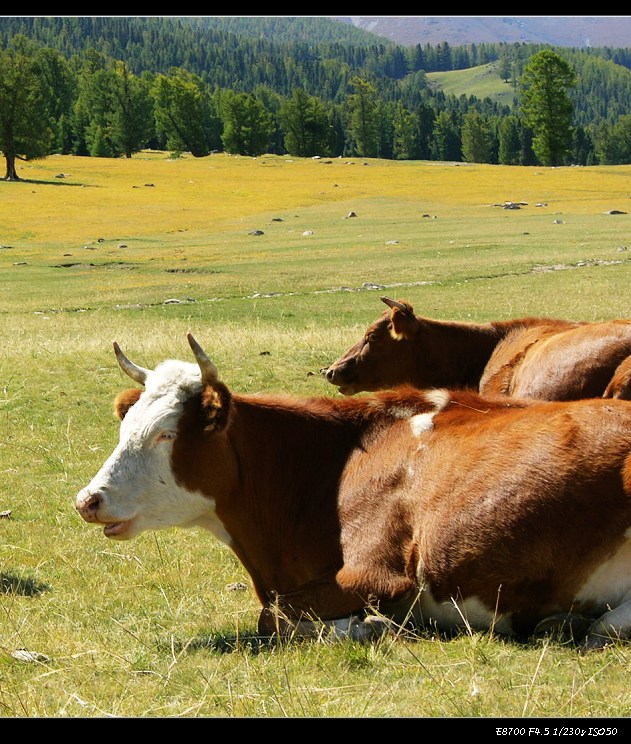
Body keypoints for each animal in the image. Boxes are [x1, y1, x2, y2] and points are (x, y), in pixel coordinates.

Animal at [75, 332, 631, 652]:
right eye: (127, 424)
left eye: (167, 434)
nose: (87, 500)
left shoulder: (379, 574)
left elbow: (273, 614)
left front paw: (369, 627)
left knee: (608, 627)